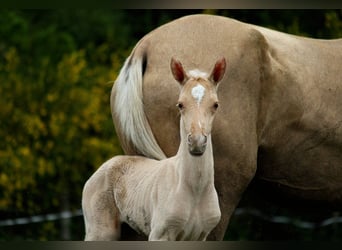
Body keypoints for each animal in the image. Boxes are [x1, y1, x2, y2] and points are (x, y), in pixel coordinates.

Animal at [82, 56, 226, 240]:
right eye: (180, 105)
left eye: (215, 105)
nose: (196, 142)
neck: (195, 190)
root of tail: (105, 167)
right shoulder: (160, 234)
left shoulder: (201, 236)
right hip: (100, 232)